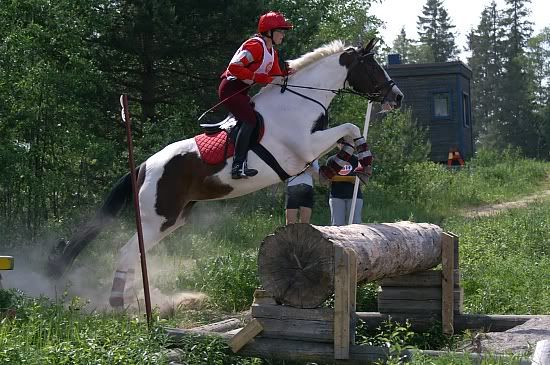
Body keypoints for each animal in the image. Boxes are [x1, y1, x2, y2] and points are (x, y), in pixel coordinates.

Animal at [45, 38, 404, 308]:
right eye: (373, 66)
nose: (397, 97)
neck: (301, 101)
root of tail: (143, 167)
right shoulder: (304, 146)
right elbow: (350, 127)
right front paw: (358, 160)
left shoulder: (307, 155)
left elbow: (346, 137)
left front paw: (346, 163)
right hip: (156, 218)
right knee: (126, 252)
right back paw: (120, 305)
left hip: (173, 220)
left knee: (136, 255)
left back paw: (134, 302)